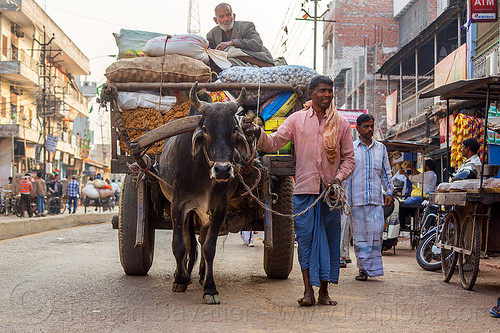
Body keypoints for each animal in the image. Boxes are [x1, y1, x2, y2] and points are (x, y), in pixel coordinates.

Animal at [159, 83, 250, 304]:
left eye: (234, 130)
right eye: (206, 130)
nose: (223, 170)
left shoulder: (218, 207)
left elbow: (209, 247)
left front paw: (210, 288)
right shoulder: (178, 205)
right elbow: (179, 244)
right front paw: (181, 279)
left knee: (200, 239)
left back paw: (201, 275)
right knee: (187, 239)